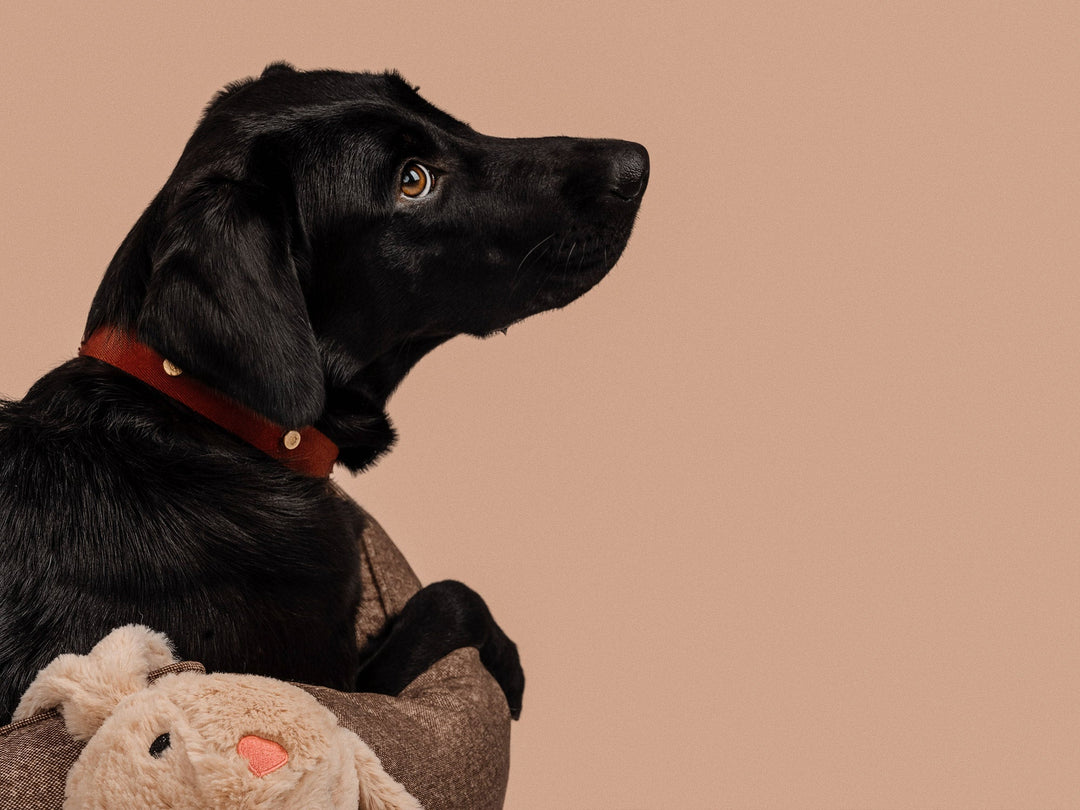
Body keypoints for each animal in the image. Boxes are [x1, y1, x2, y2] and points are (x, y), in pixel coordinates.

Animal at [0, 61, 648, 721]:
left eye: (434, 109)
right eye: (413, 180)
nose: (636, 165)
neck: (213, 427)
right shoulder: (331, 684)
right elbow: (451, 597)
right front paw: (509, 667)